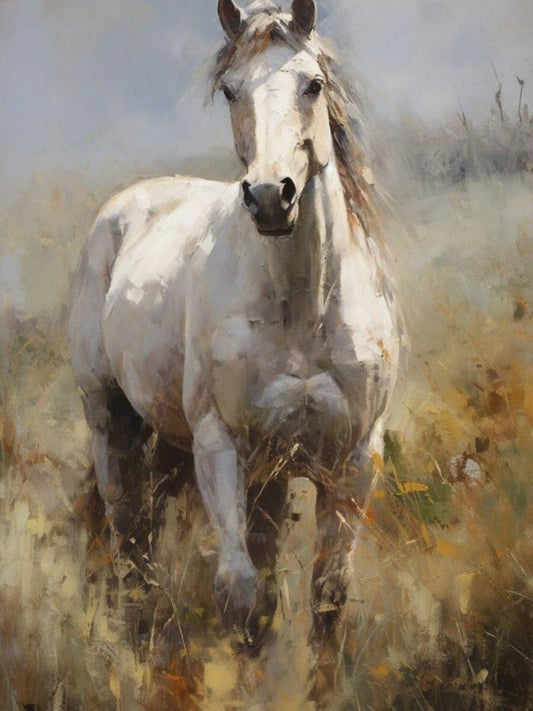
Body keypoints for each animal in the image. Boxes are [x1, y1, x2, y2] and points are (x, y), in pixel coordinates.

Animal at [69, 0, 403, 634]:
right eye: (229, 90)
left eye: (313, 84)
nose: (272, 197)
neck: (303, 310)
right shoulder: (220, 447)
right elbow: (242, 595)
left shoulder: (352, 461)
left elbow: (328, 596)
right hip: (112, 423)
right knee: (130, 538)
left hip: (257, 474)